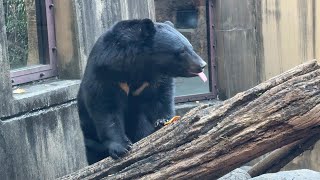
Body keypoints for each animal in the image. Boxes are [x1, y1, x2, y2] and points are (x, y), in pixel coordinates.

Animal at [77, 18, 208, 165]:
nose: (202, 65)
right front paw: (121, 147)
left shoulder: (156, 79)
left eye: (191, 47)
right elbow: (105, 106)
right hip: (89, 137)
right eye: (181, 51)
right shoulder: (105, 72)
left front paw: (162, 122)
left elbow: (161, 98)